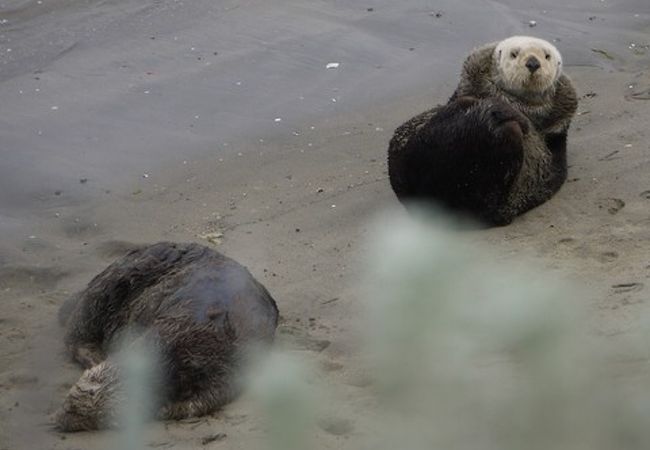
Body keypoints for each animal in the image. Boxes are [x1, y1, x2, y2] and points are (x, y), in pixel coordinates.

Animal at [56, 243, 278, 432]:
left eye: (106, 418)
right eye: (88, 383)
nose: (64, 413)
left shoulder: (227, 370)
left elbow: (202, 401)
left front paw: (164, 410)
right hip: (116, 280)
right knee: (78, 326)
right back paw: (92, 354)